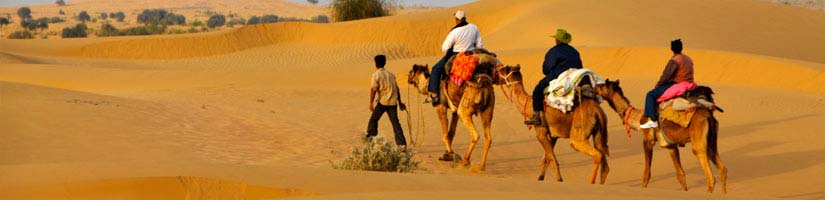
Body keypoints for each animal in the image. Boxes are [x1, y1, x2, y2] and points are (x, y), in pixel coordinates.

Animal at [592, 79, 728, 194]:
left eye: (601, 85)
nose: (593, 88)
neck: (638, 118)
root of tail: (709, 116)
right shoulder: (671, 146)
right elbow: (681, 174)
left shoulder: (647, 140)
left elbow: (647, 174)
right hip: (712, 140)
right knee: (722, 169)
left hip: (698, 141)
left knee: (710, 176)